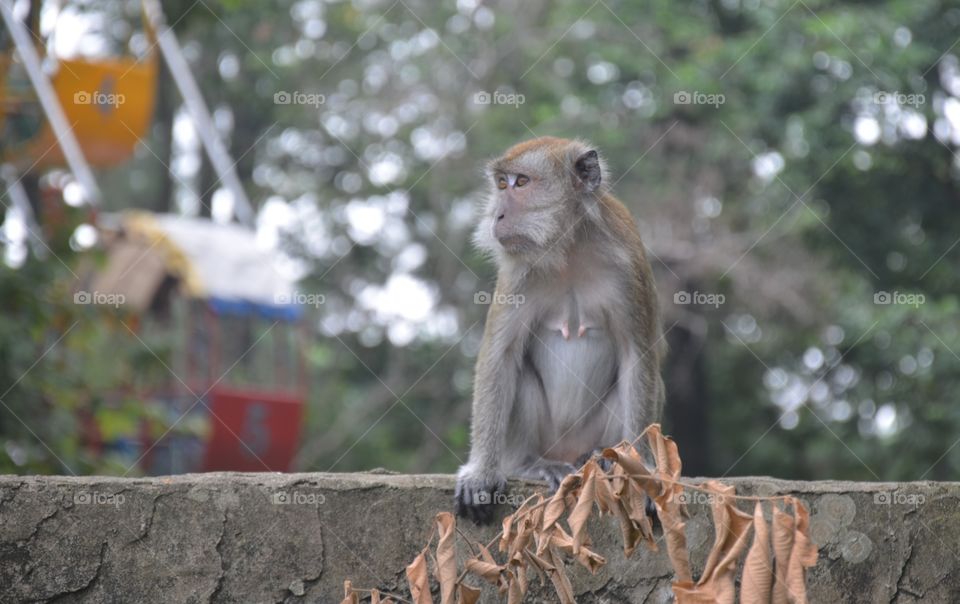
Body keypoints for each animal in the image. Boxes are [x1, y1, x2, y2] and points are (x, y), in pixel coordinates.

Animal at [454, 137, 666, 525]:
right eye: (501, 184)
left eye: (521, 182)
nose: (497, 216)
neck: (569, 249)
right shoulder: (518, 273)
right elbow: (500, 356)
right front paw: (480, 474)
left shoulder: (629, 267)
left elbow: (638, 357)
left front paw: (639, 470)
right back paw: (534, 465)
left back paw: (600, 458)